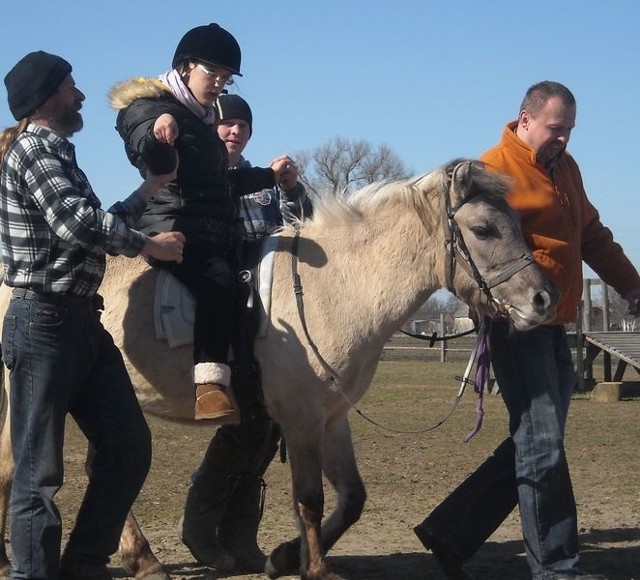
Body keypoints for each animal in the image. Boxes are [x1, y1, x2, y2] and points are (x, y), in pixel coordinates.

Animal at [0, 160, 556, 580]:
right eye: (483, 229)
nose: (543, 300)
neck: (337, 287)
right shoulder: (301, 418)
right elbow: (309, 497)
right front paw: (314, 569)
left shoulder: (332, 418)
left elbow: (352, 498)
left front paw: (285, 556)